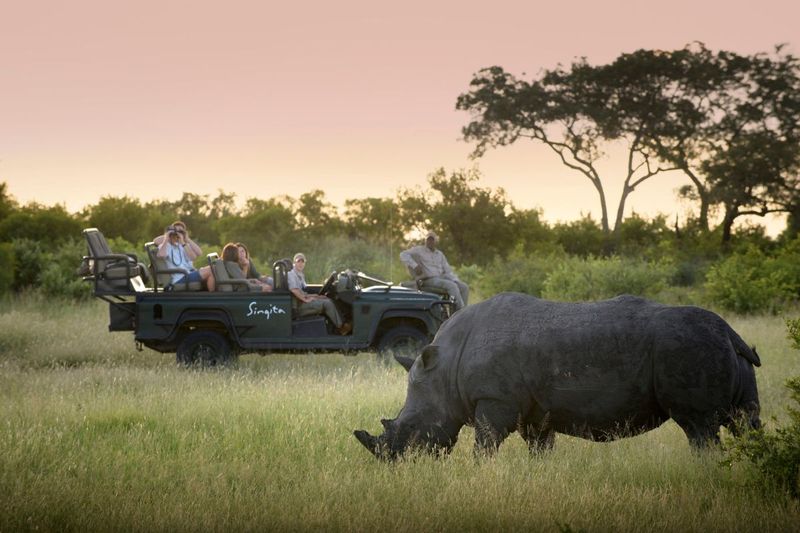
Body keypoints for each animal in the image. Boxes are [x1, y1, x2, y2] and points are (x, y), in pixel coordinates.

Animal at [354, 293, 761, 460]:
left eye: (411, 430)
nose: (393, 464)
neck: (445, 369)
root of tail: (729, 331)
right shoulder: (536, 412)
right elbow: (539, 449)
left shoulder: (494, 400)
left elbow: (485, 445)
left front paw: (481, 473)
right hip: (723, 350)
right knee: (745, 421)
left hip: (688, 348)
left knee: (699, 427)